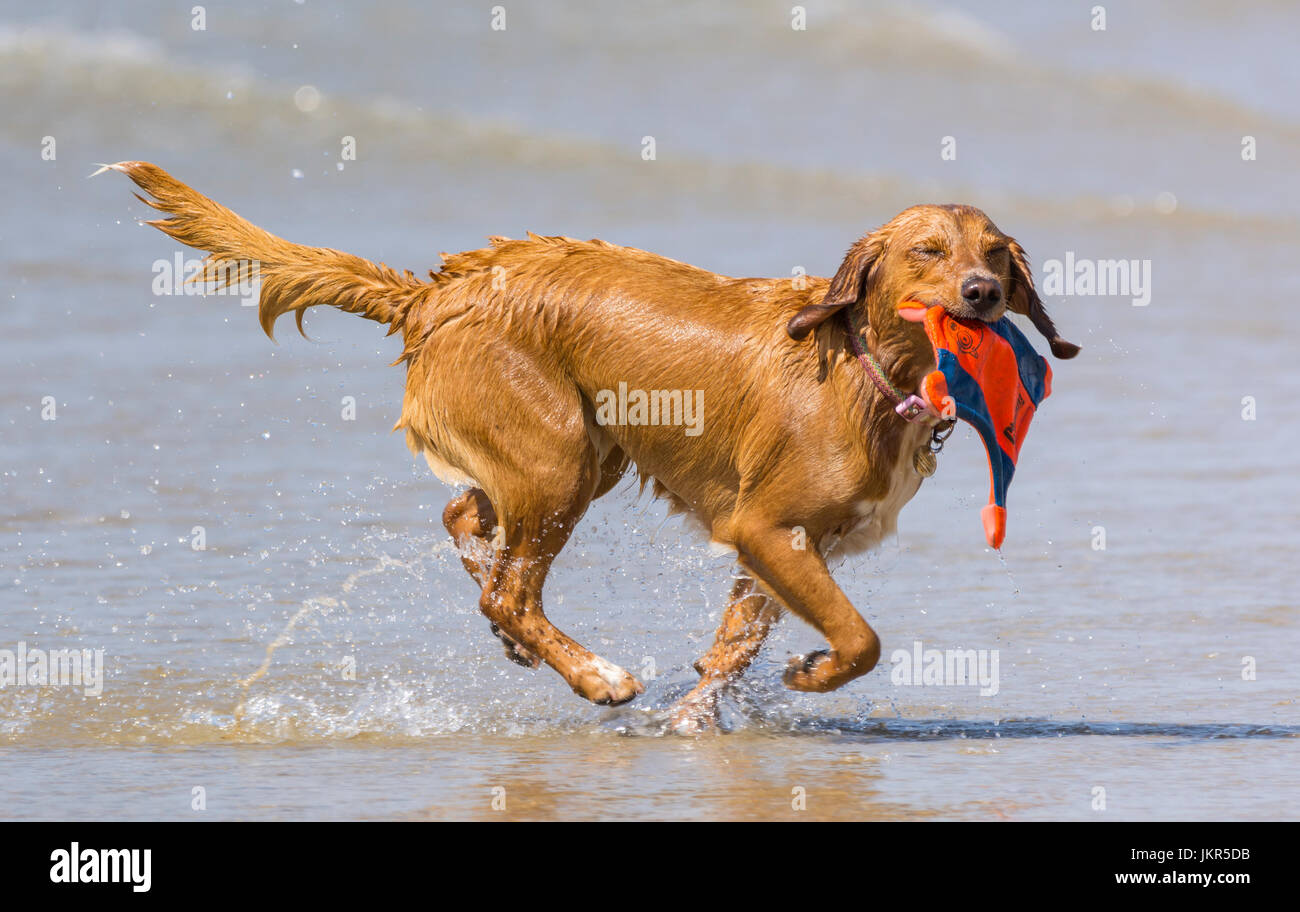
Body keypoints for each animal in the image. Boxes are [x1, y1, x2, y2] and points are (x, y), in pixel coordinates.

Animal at [104, 164, 1076, 732]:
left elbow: (734, 646)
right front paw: (806, 676)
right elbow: (861, 637)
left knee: (468, 528)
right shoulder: (764, 527)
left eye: (996, 252)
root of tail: (436, 292)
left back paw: (528, 644)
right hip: (560, 457)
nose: (984, 293)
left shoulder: (796, 544)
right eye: (929, 250)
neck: (870, 371)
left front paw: (702, 714)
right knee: (507, 588)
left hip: (579, 455)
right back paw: (595, 676)